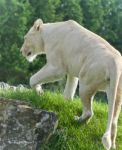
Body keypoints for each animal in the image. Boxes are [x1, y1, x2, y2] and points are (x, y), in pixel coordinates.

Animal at [20, 19, 122, 150]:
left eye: (25, 38)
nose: (21, 51)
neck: (46, 34)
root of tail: (115, 64)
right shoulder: (72, 69)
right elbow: (69, 89)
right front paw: (65, 104)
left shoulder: (56, 67)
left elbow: (34, 78)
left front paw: (39, 92)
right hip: (116, 90)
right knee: (114, 120)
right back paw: (113, 145)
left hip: (87, 80)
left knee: (89, 111)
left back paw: (77, 121)